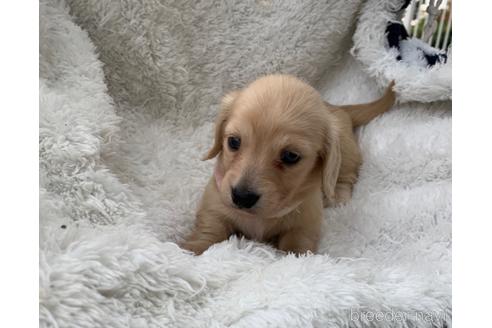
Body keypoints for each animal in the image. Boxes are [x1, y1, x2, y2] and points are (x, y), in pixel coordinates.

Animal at [182, 75, 396, 255]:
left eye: (291, 156)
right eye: (233, 142)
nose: (242, 197)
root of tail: (338, 108)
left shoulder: (305, 223)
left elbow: (297, 247)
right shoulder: (215, 205)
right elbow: (208, 231)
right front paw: (191, 250)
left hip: (346, 153)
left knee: (344, 178)